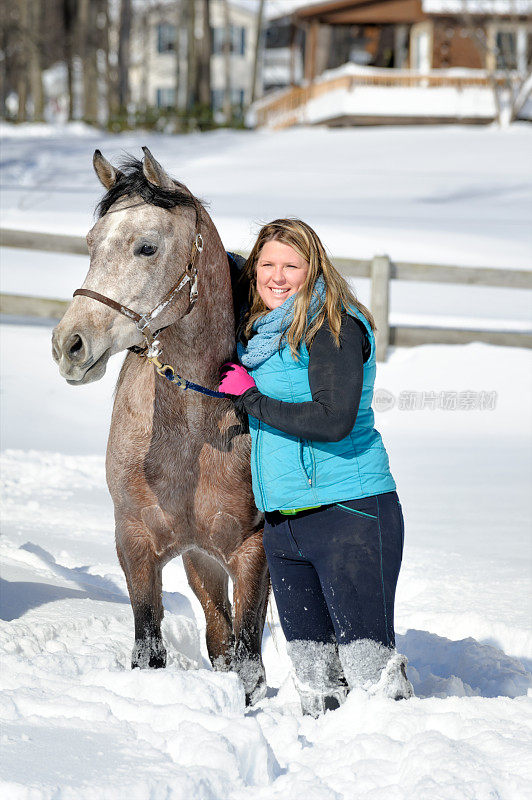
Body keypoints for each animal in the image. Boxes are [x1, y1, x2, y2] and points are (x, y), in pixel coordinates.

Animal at [52, 147, 268, 704]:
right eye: (91, 243)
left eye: (146, 247)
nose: (69, 345)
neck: (191, 439)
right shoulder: (135, 545)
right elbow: (149, 649)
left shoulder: (252, 550)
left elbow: (250, 664)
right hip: (200, 561)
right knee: (217, 636)